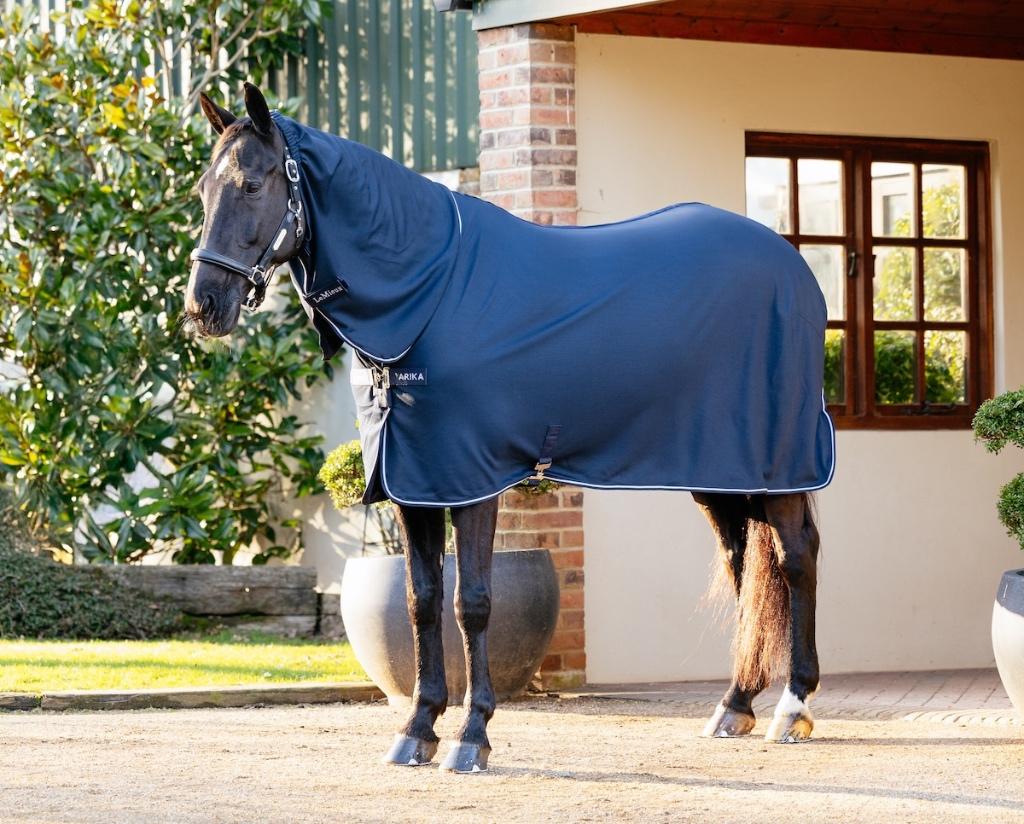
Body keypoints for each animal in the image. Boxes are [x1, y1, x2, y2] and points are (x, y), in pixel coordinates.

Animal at [184, 82, 829, 773]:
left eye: (252, 184)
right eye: (202, 189)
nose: (203, 306)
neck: (431, 292)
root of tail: (793, 266)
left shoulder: (470, 479)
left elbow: (472, 602)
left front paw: (472, 736)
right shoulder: (414, 483)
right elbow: (421, 600)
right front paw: (417, 728)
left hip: (779, 464)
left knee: (794, 559)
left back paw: (792, 707)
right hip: (719, 473)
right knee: (743, 565)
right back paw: (735, 703)